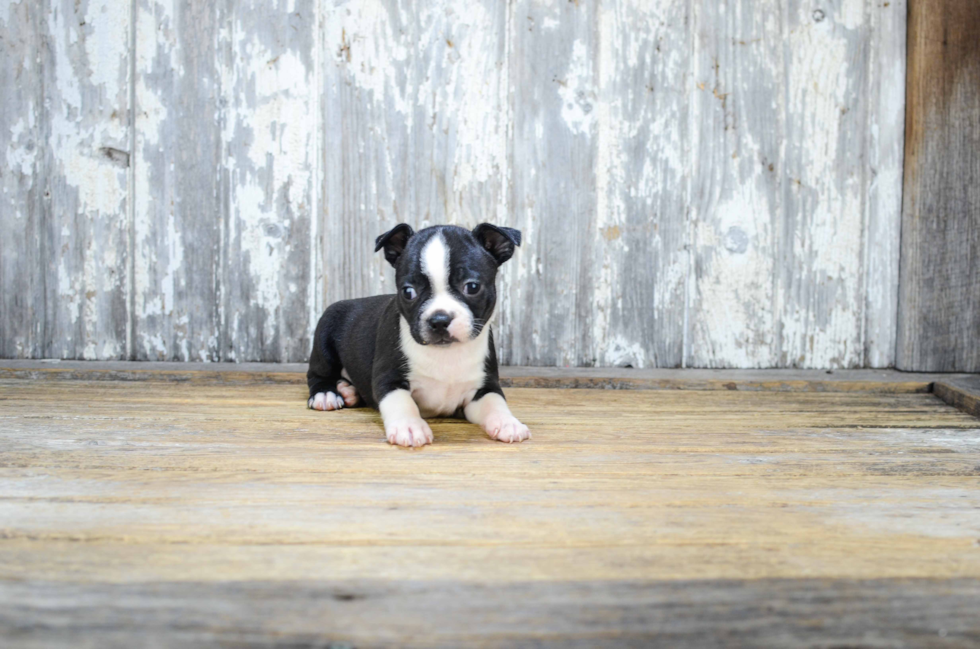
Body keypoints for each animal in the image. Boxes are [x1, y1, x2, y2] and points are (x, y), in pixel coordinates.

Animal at [308, 223, 532, 446]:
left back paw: (349, 391)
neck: (446, 354)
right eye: (408, 292)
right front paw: (409, 426)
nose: (439, 319)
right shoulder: (389, 379)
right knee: (318, 373)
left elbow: (495, 402)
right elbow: (401, 401)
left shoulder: (484, 386)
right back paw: (327, 393)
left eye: (472, 287)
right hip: (325, 332)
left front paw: (508, 422)